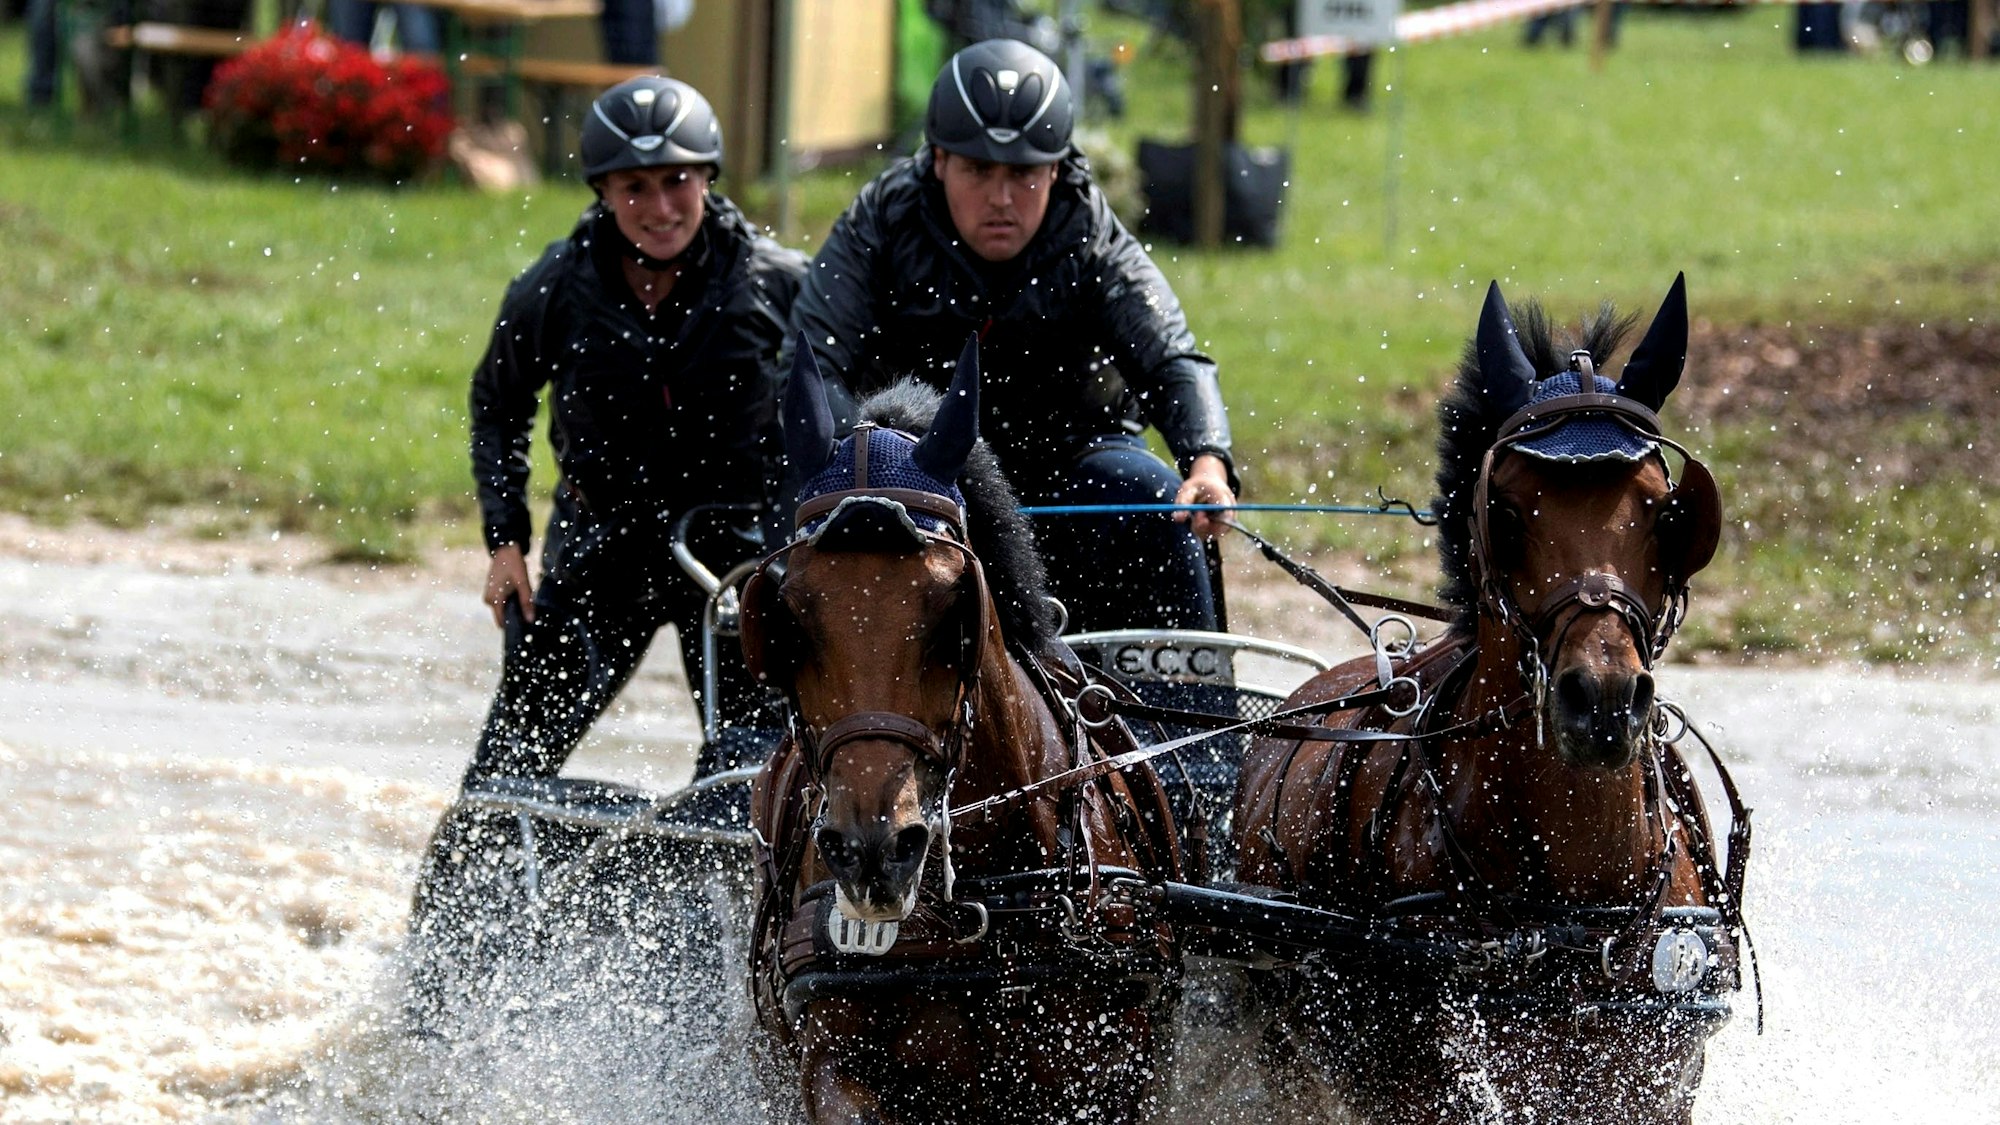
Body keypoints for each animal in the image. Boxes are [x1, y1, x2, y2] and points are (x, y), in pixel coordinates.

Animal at [742, 336, 1185, 1123]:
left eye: (955, 608)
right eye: (788, 616)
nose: (872, 849)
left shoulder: (1106, 1078)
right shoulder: (835, 1067)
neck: (984, 907)